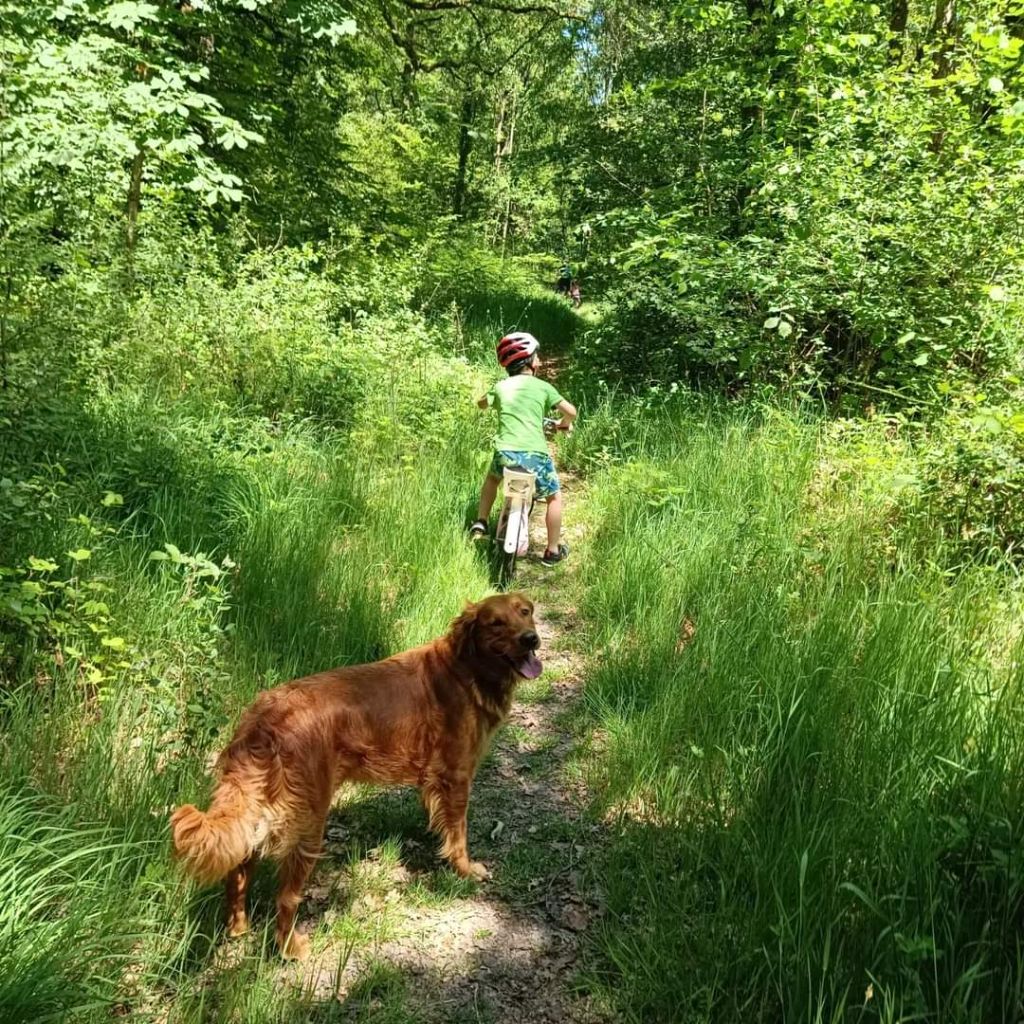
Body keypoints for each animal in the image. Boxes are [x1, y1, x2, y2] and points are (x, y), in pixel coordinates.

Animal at [169, 593, 544, 958]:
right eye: (496, 623)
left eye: (525, 612)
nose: (531, 639)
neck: (465, 668)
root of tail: (263, 720)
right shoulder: (457, 776)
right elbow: (460, 834)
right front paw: (465, 869)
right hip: (309, 822)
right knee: (285, 897)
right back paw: (292, 949)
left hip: (260, 812)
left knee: (238, 873)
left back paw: (238, 929)